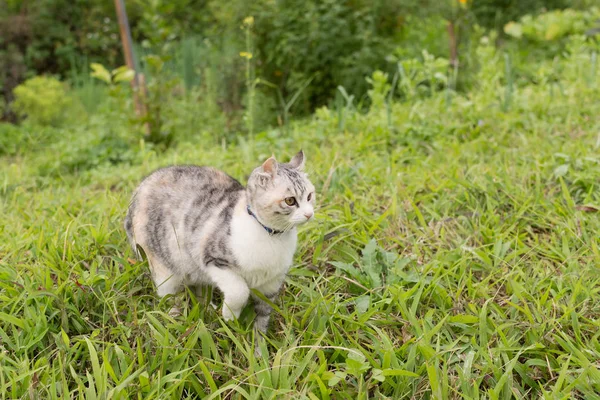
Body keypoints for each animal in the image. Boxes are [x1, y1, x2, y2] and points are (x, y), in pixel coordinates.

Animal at [125, 150, 316, 350]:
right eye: (290, 201)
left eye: (310, 196)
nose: (309, 214)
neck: (272, 236)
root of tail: (141, 187)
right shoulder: (213, 258)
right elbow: (239, 291)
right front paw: (230, 315)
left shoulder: (271, 284)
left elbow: (262, 319)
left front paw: (258, 350)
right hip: (164, 268)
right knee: (168, 296)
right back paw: (175, 318)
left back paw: (208, 309)